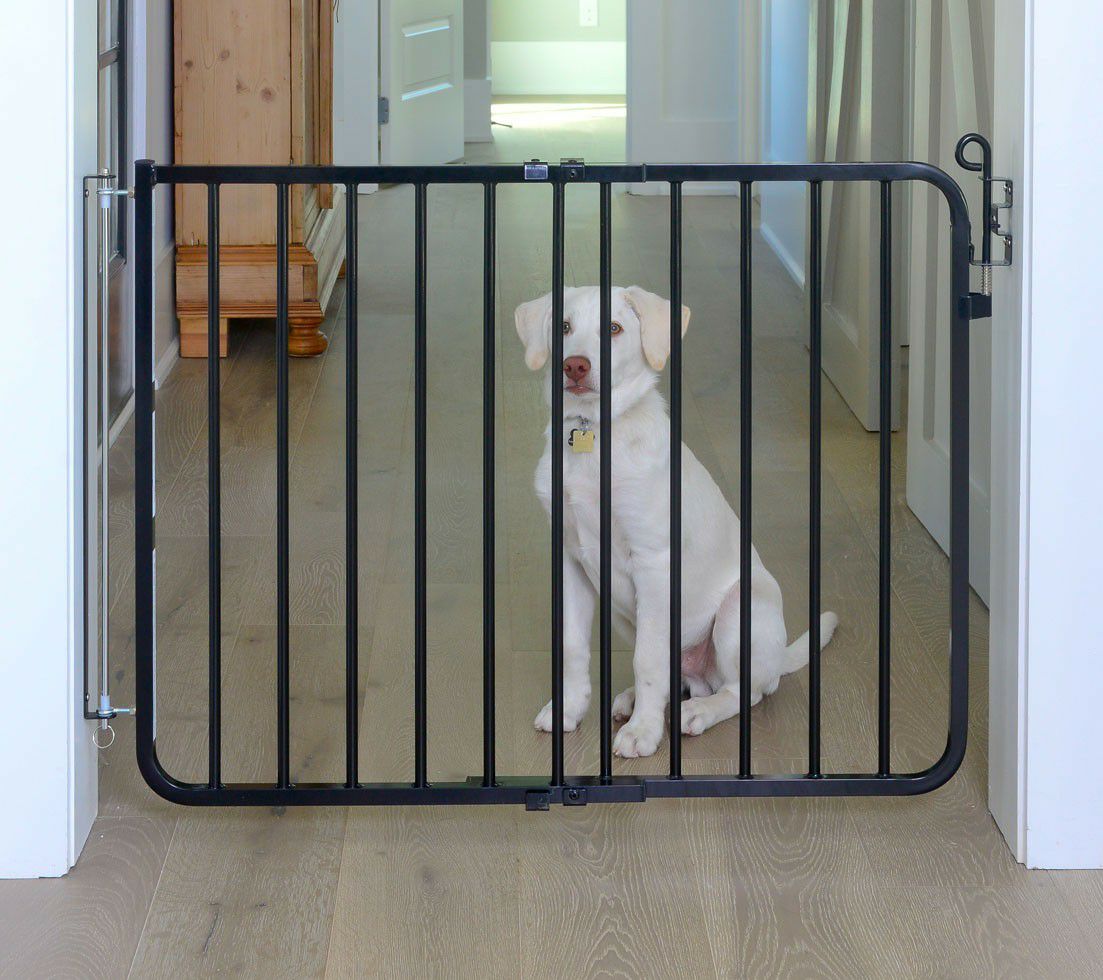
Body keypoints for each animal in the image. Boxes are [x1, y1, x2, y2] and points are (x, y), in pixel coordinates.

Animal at [515, 285, 838, 758]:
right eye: (564, 327)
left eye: (614, 328)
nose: (575, 366)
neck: (595, 435)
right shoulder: (571, 560)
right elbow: (573, 645)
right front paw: (569, 709)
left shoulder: (654, 564)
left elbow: (647, 658)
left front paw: (643, 733)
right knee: (680, 677)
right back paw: (635, 699)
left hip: (740, 609)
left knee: (746, 691)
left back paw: (697, 711)